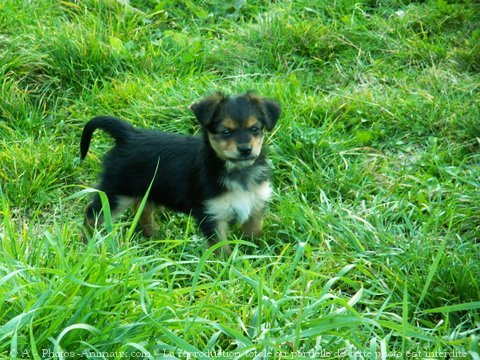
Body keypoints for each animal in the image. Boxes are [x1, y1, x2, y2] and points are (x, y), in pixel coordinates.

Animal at [80, 91, 280, 255]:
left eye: (255, 129)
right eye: (225, 132)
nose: (245, 150)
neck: (237, 171)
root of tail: (128, 134)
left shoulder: (255, 208)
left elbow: (253, 238)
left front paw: (255, 257)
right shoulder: (213, 216)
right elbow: (221, 249)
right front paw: (228, 268)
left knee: (141, 208)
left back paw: (153, 237)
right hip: (116, 192)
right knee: (92, 215)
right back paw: (86, 247)